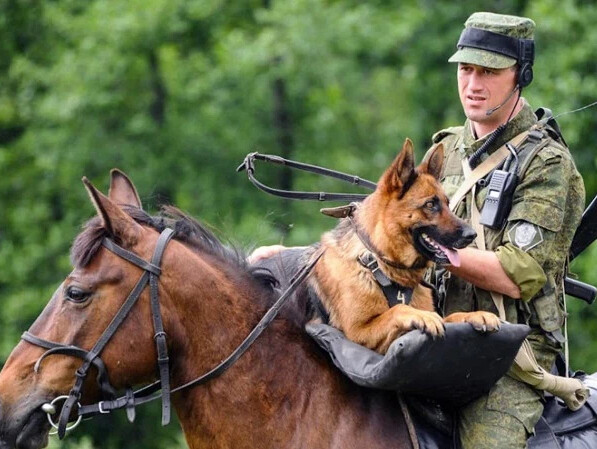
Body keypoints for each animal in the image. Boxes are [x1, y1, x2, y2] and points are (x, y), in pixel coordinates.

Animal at [310, 139, 500, 354]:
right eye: (430, 205)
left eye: (447, 203)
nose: (471, 235)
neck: (379, 263)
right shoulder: (357, 335)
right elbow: (399, 308)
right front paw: (422, 316)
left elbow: (450, 317)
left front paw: (475, 315)